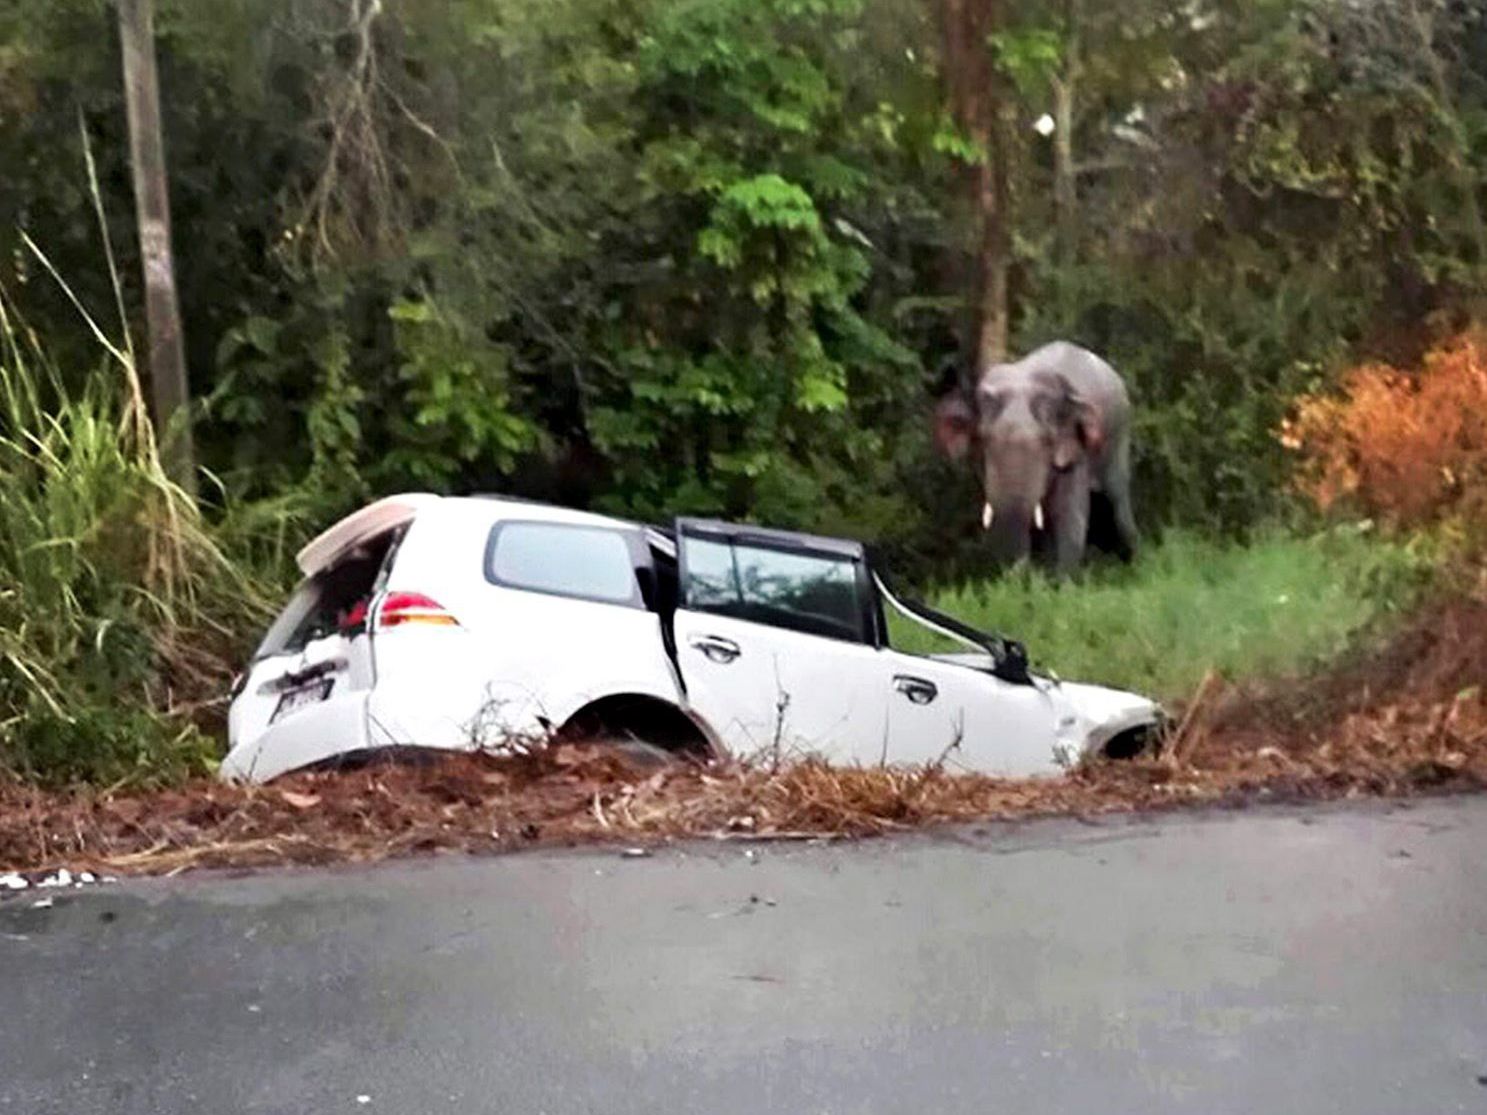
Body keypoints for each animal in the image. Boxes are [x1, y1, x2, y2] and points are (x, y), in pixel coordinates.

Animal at [934, 341, 1138, 574]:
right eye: (984, 438)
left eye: (1046, 440)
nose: (1018, 575)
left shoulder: (1077, 449)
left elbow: (1069, 515)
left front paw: (1063, 581)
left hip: (1119, 434)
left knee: (1117, 499)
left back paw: (1134, 562)